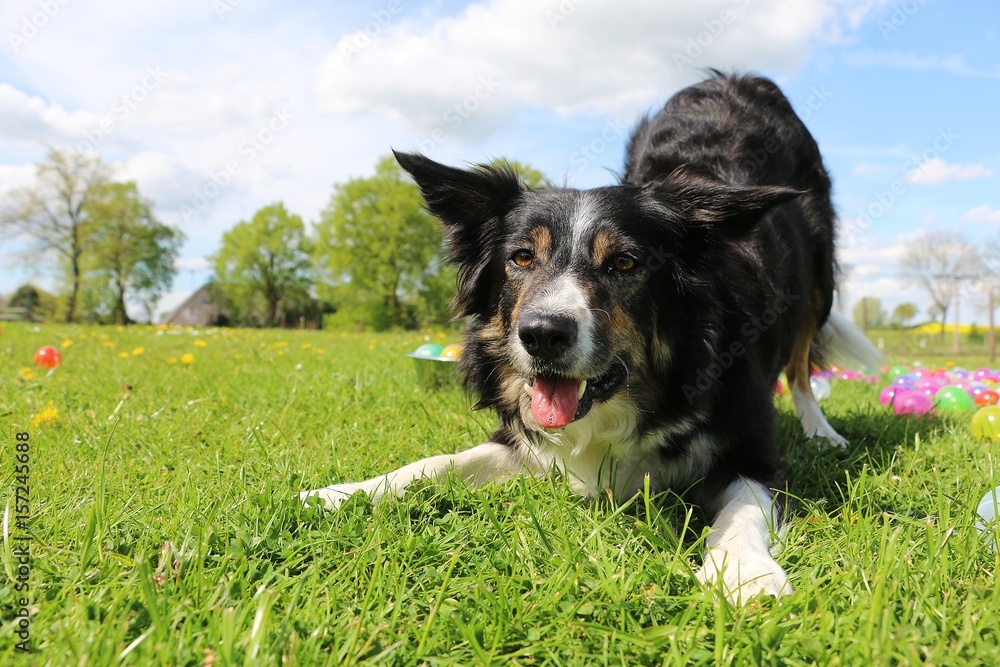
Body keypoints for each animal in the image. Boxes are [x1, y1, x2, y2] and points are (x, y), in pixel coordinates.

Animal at [300, 73, 880, 604]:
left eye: (624, 262)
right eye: (521, 257)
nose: (541, 335)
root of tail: (739, 79)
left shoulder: (753, 452)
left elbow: (742, 509)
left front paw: (744, 573)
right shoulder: (520, 441)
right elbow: (435, 463)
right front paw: (344, 492)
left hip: (818, 283)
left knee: (801, 364)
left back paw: (821, 429)